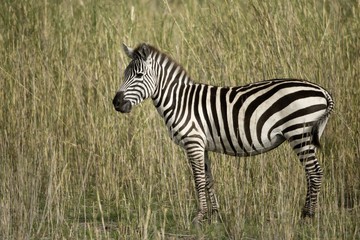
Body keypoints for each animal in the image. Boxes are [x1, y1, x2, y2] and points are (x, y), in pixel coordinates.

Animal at [112, 42, 334, 224]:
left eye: (139, 76)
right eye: (124, 75)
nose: (116, 103)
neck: (179, 101)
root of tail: (322, 91)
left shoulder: (193, 142)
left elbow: (198, 179)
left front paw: (199, 216)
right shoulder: (202, 145)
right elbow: (208, 179)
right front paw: (215, 215)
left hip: (299, 133)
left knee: (315, 172)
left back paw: (308, 216)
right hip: (303, 136)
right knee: (310, 173)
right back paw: (306, 213)